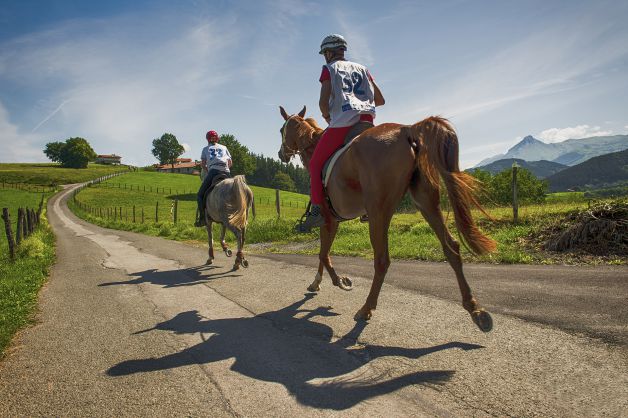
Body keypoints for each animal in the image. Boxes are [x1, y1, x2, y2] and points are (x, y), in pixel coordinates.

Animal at [278, 106, 498, 332]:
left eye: (280, 130)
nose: (281, 153)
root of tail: (407, 130)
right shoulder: (333, 222)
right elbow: (323, 254)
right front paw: (317, 283)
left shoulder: (329, 221)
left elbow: (323, 255)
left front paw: (340, 281)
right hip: (426, 204)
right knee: (451, 247)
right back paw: (475, 309)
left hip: (379, 213)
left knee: (382, 260)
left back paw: (366, 308)